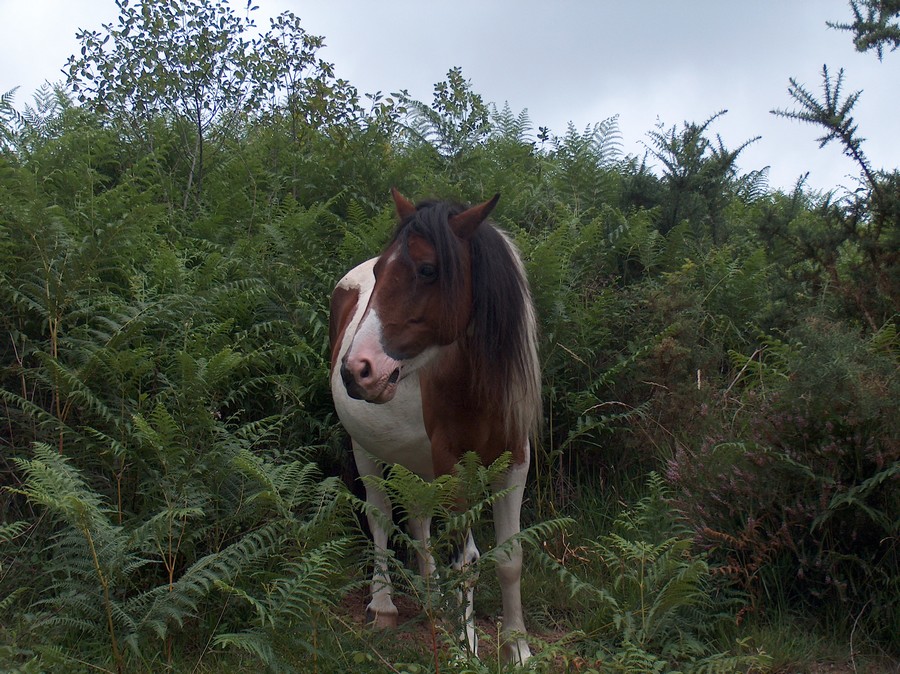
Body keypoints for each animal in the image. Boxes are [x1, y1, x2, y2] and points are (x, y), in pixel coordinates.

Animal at [330, 186, 540, 660]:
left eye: (428, 270)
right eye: (380, 271)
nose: (356, 370)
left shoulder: (514, 463)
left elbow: (511, 559)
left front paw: (517, 649)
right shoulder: (454, 467)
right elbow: (466, 563)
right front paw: (465, 650)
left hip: (417, 462)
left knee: (419, 524)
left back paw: (433, 601)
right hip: (365, 449)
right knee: (382, 518)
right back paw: (384, 605)